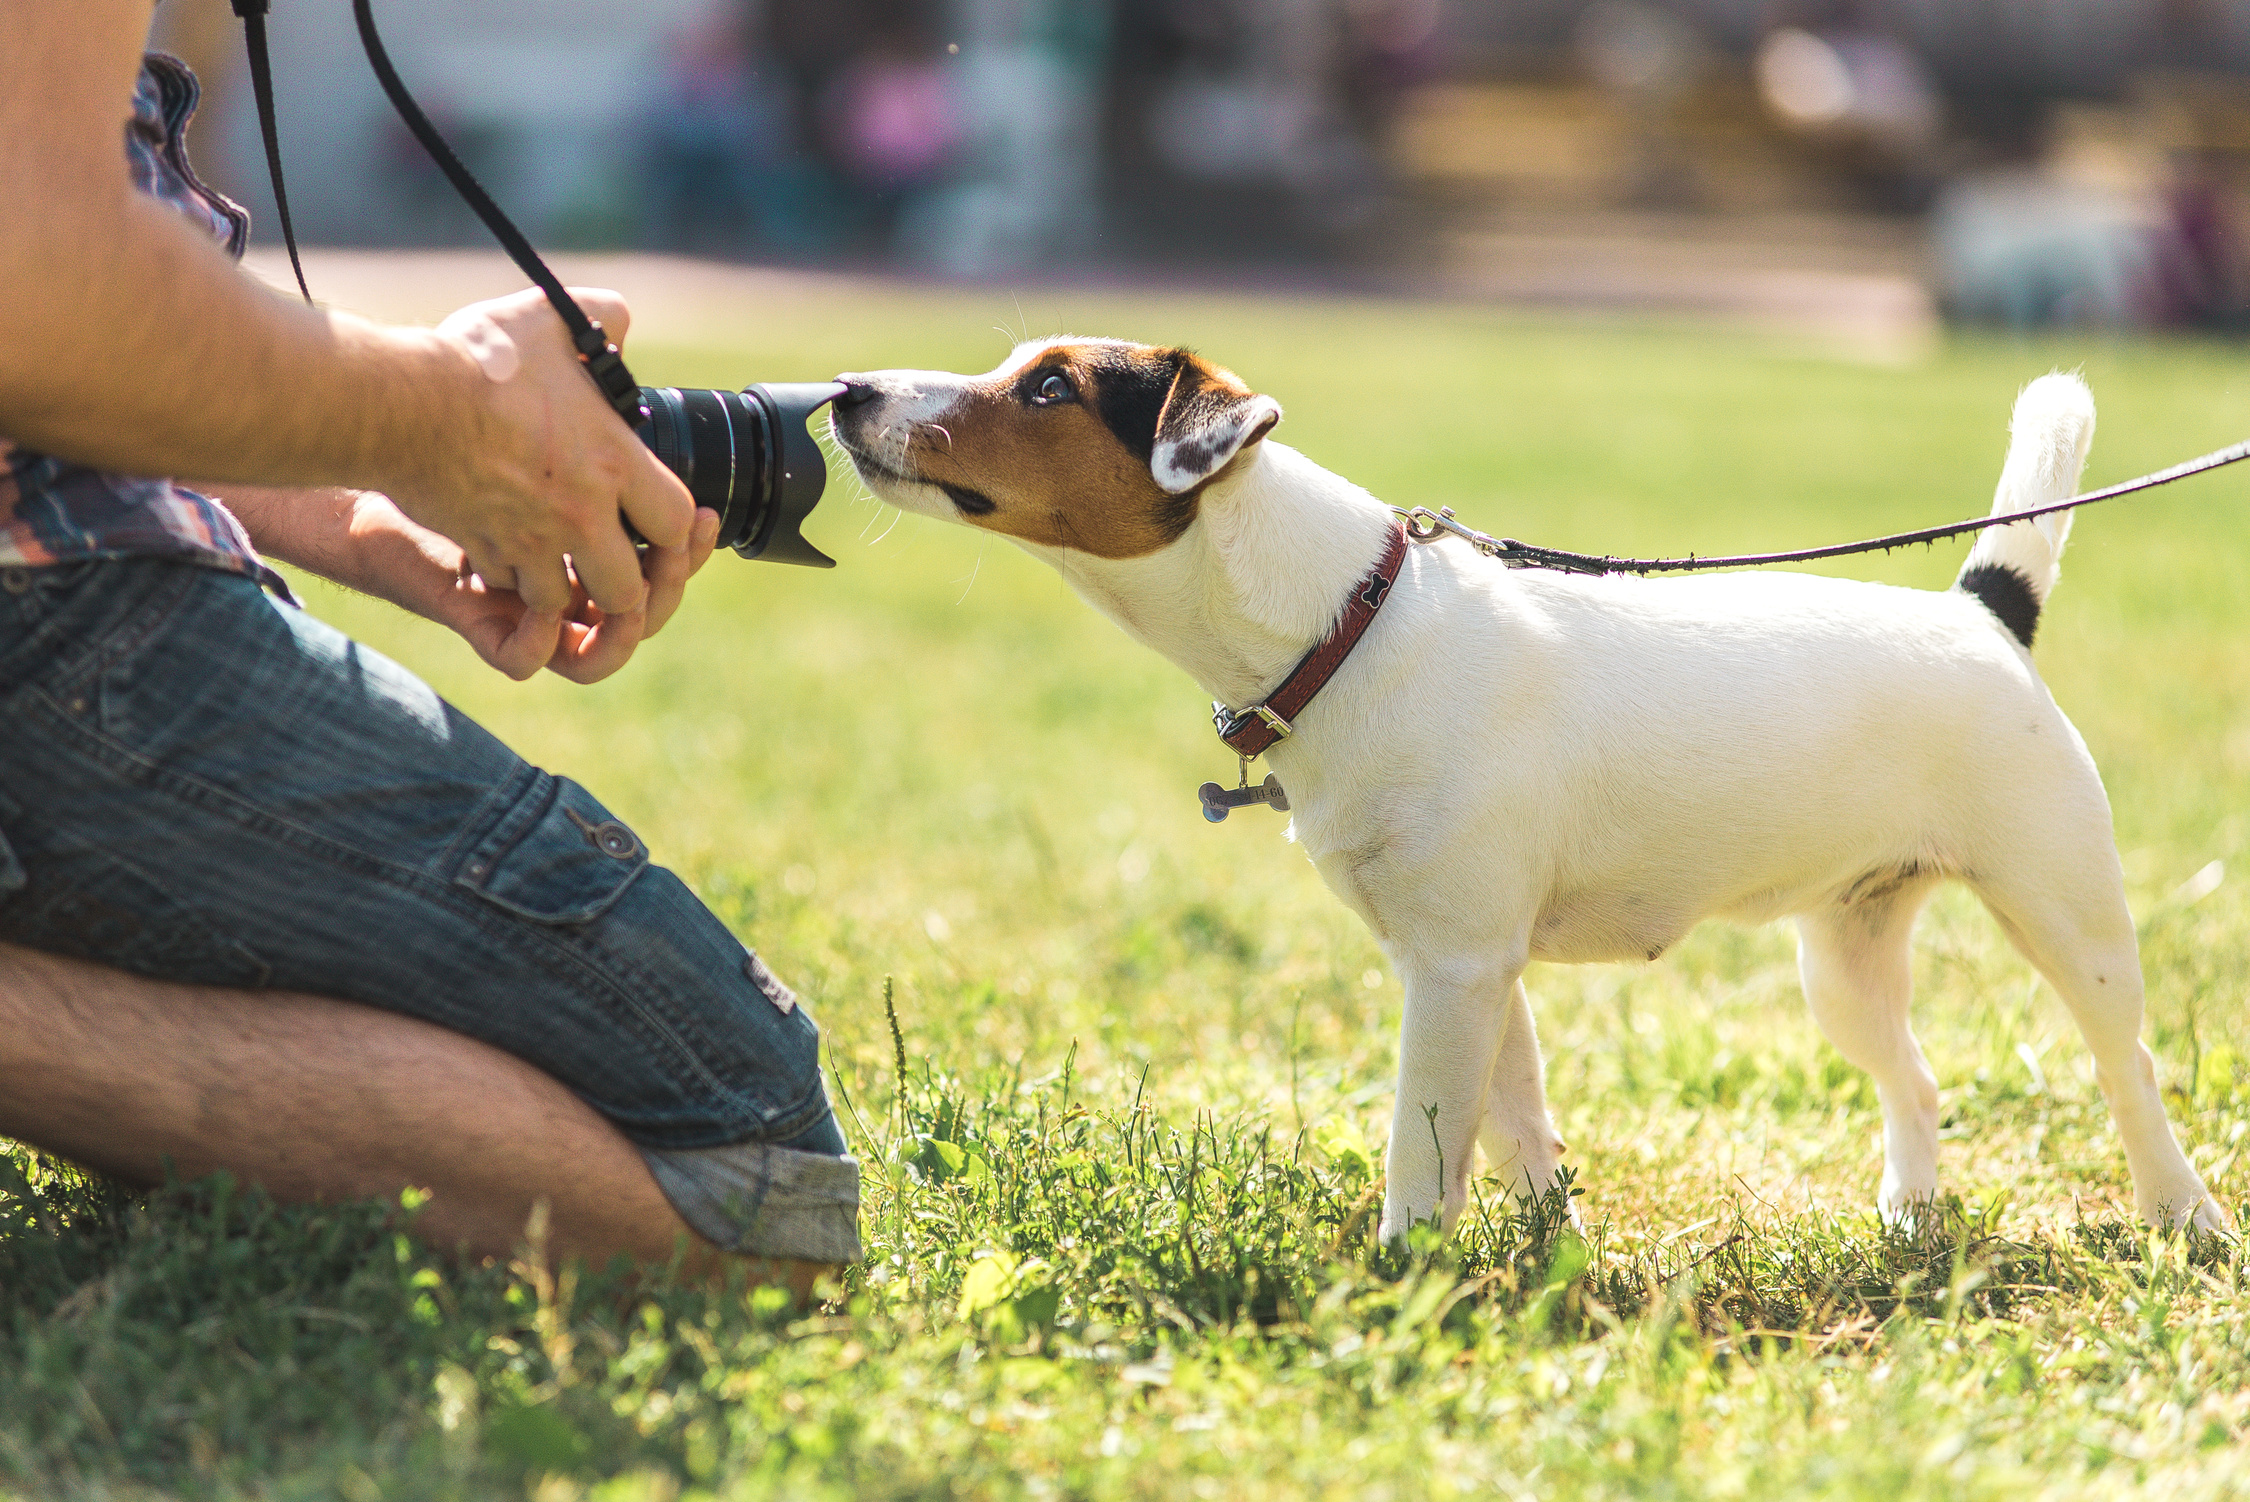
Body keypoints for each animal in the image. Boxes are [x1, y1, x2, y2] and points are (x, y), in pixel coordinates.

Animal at [832, 344, 2232, 1241]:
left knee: (2130, 1069)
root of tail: (1983, 614)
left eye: (1050, 385)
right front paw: (1541, 1248)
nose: (846, 393)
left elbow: (1422, 1146)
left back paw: (2184, 1216)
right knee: (1919, 1079)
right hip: (1843, 955)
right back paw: (1910, 1215)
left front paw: (1404, 1274)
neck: (1349, 618)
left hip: (2068, 915)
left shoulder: (1453, 968)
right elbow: (1509, 1123)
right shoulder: (1468, 961)